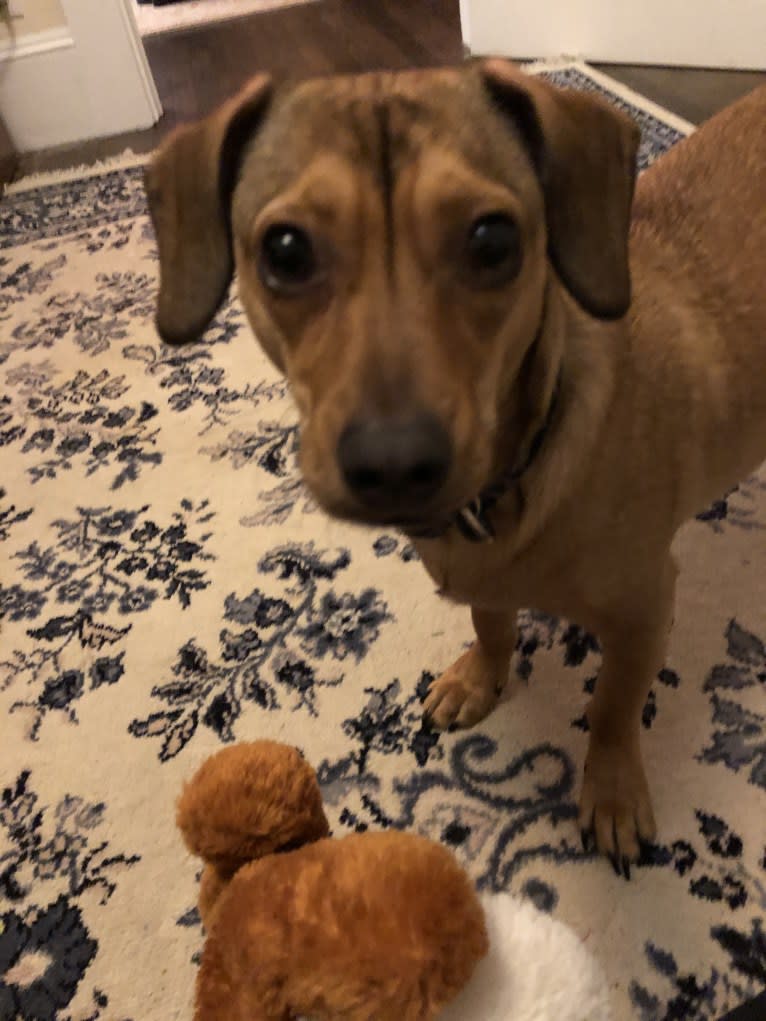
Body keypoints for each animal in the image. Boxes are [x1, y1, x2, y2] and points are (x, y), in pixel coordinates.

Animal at [147, 63, 766, 873]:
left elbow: (612, 707)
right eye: (283, 251)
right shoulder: (489, 587)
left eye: (492, 238)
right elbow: (492, 623)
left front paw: (611, 792)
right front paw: (481, 677)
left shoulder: (644, 610)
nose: (394, 463)